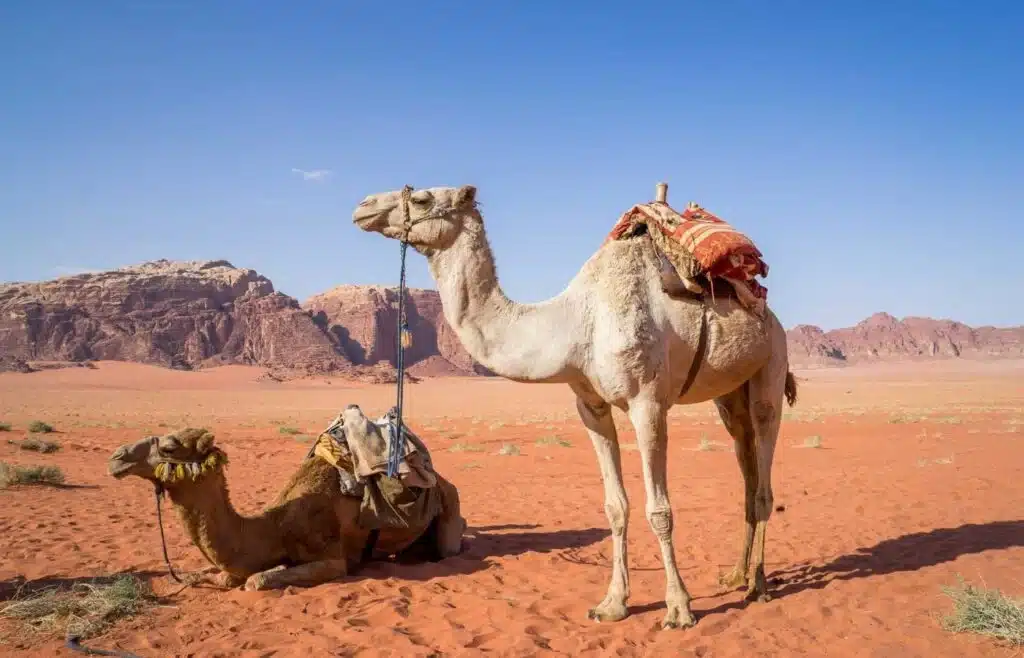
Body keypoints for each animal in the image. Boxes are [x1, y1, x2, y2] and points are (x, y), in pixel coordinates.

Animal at [108, 406, 466, 591]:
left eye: (169, 448)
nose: (117, 457)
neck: (275, 527)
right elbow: (222, 575)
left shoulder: (332, 558)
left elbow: (256, 580)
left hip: (449, 502)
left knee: (452, 541)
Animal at [352, 184, 798, 629]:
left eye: (423, 198)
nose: (363, 207)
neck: (576, 325)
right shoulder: (591, 406)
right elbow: (615, 506)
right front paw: (613, 603)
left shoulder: (648, 403)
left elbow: (659, 510)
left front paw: (678, 608)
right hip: (729, 394)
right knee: (745, 467)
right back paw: (736, 575)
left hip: (771, 365)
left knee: (763, 474)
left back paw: (758, 585)